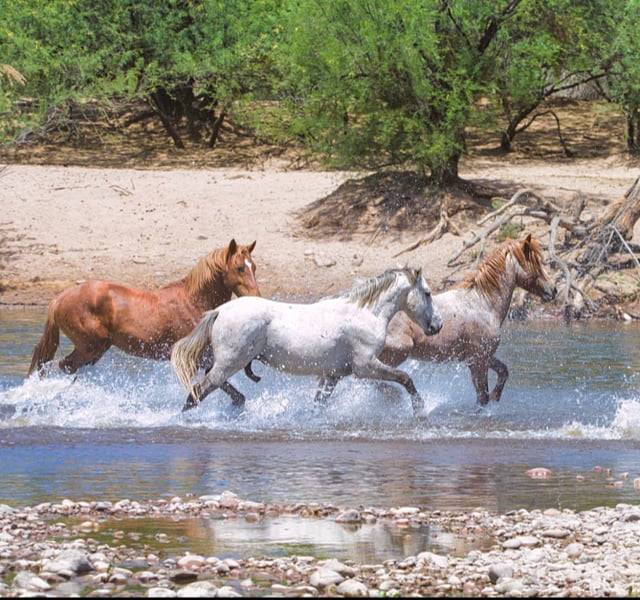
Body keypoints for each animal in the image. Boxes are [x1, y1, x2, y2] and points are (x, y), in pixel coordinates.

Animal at [28, 239, 261, 389]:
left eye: (254, 267)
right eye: (239, 268)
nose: (257, 296)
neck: (193, 302)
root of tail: (59, 298)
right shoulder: (191, 358)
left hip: (97, 348)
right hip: (90, 346)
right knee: (66, 366)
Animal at [171, 266, 443, 417]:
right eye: (428, 293)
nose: (437, 325)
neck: (365, 312)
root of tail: (219, 311)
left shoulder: (333, 374)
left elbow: (319, 404)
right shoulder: (365, 366)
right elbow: (405, 379)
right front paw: (420, 411)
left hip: (229, 362)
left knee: (208, 383)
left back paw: (239, 401)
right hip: (230, 362)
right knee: (198, 392)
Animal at [380, 234, 557, 406]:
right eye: (536, 261)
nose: (553, 289)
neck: (481, 303)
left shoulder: (482, 356)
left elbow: (503, 372)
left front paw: (496, 396)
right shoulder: (478, 360)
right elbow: (482, 397)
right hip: (398, 353)